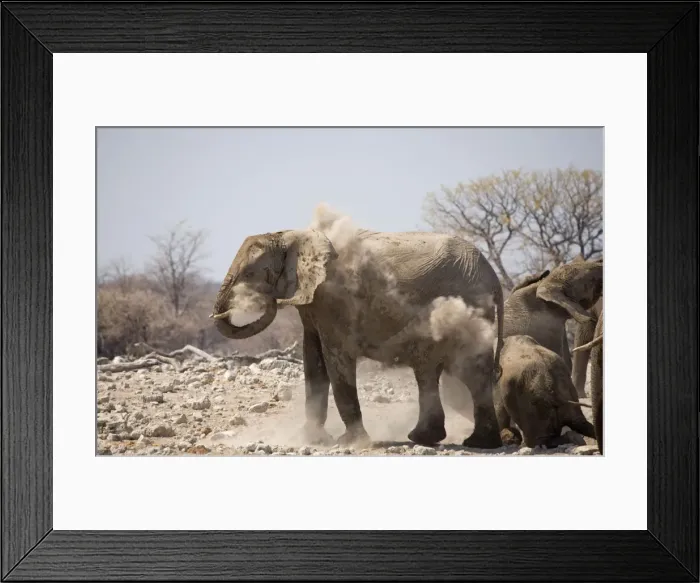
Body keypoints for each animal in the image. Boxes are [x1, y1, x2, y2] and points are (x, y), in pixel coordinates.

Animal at [210, 227, 505, 449]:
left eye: (249, 274)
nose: (268, 301)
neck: (291, 235)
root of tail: (494, 277)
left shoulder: (333, 301)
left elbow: (335, 359)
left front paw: (349, 442)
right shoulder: (314, 306)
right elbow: (313, 361)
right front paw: (314, 440)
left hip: (469, 307)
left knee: (466, 370)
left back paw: (471, 443)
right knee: (433, 370)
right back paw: (448, 440)